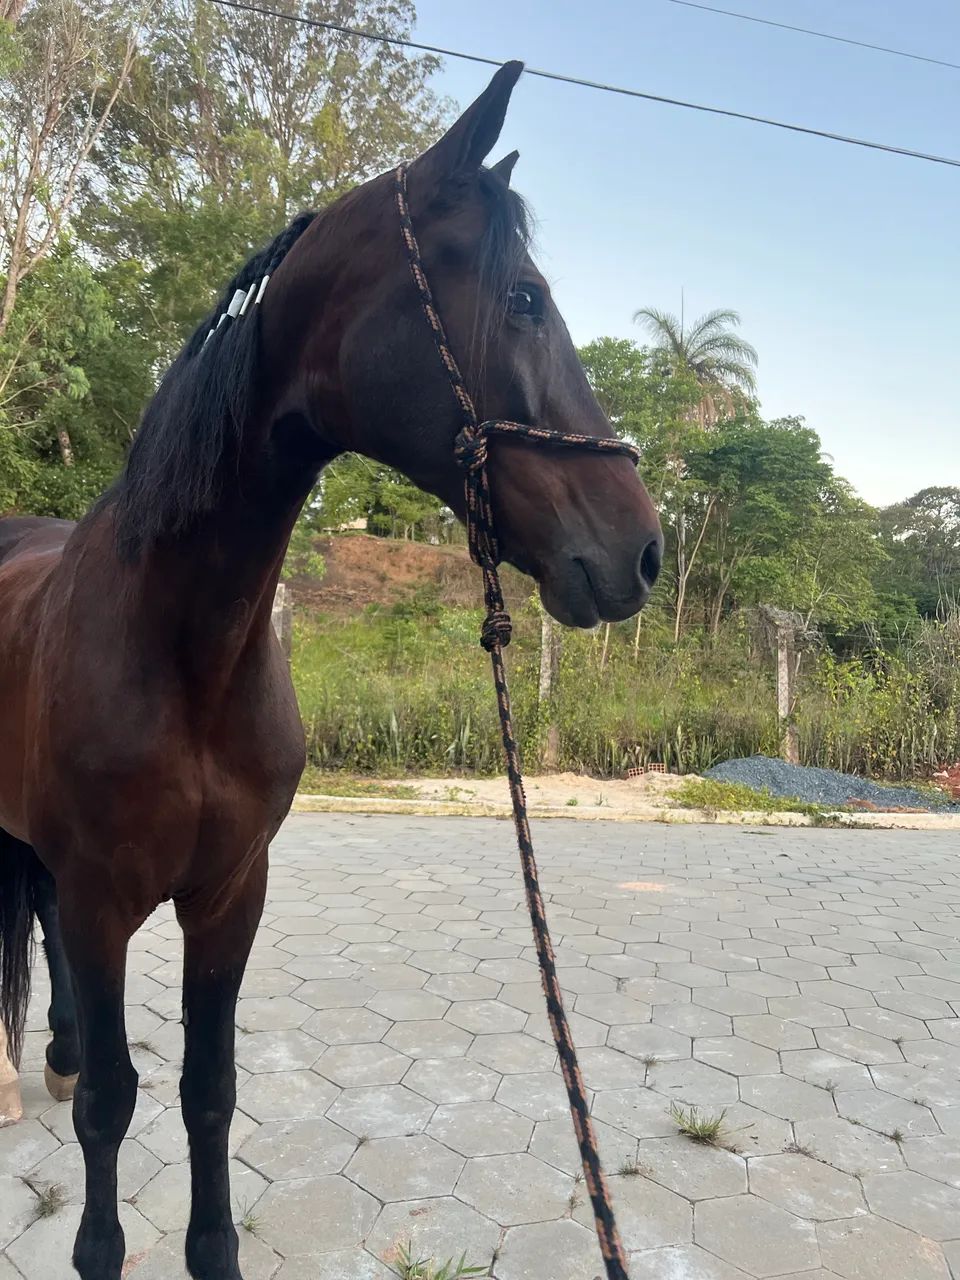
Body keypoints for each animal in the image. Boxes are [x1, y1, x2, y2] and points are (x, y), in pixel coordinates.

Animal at [0, 62, 662, 1280]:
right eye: (526, 299)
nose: (640, 549)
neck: (187, 651)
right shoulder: (106, 897)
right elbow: (115, 1104)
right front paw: (99, 1243)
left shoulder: (229, 896)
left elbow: (207, 1091)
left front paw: (212, 1248)